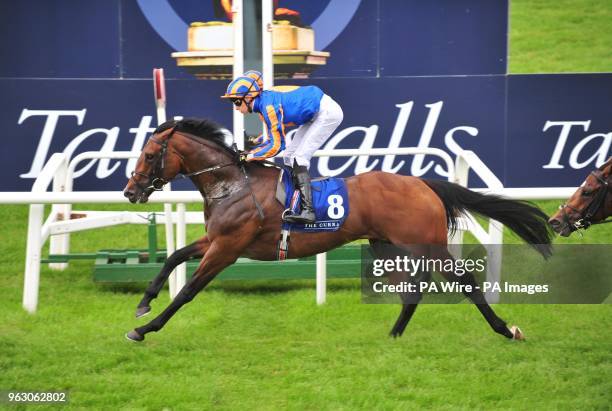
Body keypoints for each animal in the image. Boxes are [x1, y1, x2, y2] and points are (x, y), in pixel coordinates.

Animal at [122, 118, 552, 342]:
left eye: (149, 154)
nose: (130, 191)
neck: (232, 183)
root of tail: (423, 183)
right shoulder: (215, 239)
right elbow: (174, 257)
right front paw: (144, 302)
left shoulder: (227, 248)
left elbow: (189, 291)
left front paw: (144, 328)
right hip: (386, 245)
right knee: (413, 289)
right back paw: (394, 334)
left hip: (425, 243)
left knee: (464, 281)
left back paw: (505, 329)